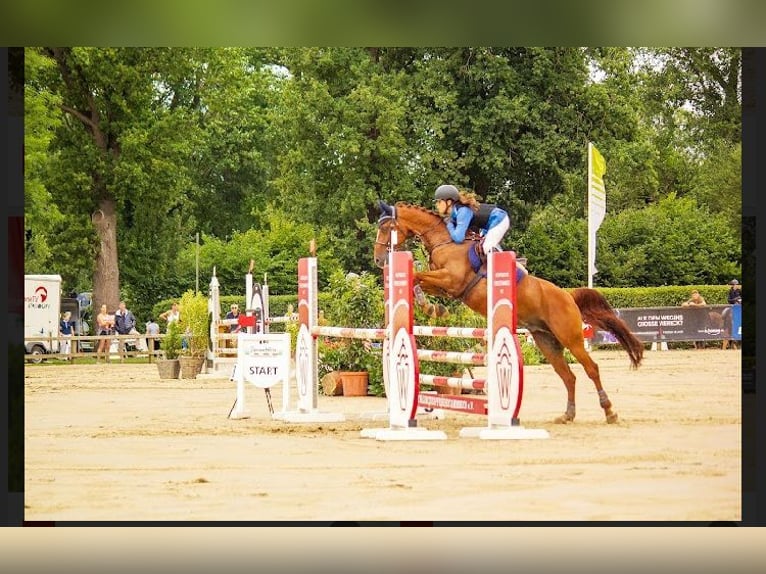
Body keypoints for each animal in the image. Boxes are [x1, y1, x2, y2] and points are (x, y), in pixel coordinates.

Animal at [376, 200, 644, 426]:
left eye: (387, 227)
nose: (379, 260)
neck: (446, 241)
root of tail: (568, 295)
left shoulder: (451, 280)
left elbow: (417, 277)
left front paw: (430, 306)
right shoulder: (445, 285)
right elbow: (419, 281)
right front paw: (432, 307)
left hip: (571, 338)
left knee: (591, 369)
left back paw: (609, 412)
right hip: (547, 342)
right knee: (568, 376)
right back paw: (567, 415)